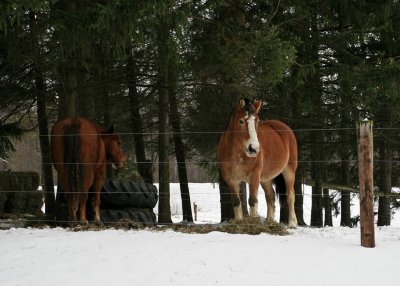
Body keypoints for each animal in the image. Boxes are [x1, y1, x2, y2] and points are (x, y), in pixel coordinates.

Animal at [217, 98, 298, 228]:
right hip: (265, 179)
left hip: (289, 171)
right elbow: (236, 201)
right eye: (241, 121)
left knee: (290, 195)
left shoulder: (254, 177)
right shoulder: (231, 180)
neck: (237, 155)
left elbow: (252, 201)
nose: (253, 148)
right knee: (270, 196)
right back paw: (269, 221)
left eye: (257, 121)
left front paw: (253, 222)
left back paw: (292, 223)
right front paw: (239, 222)